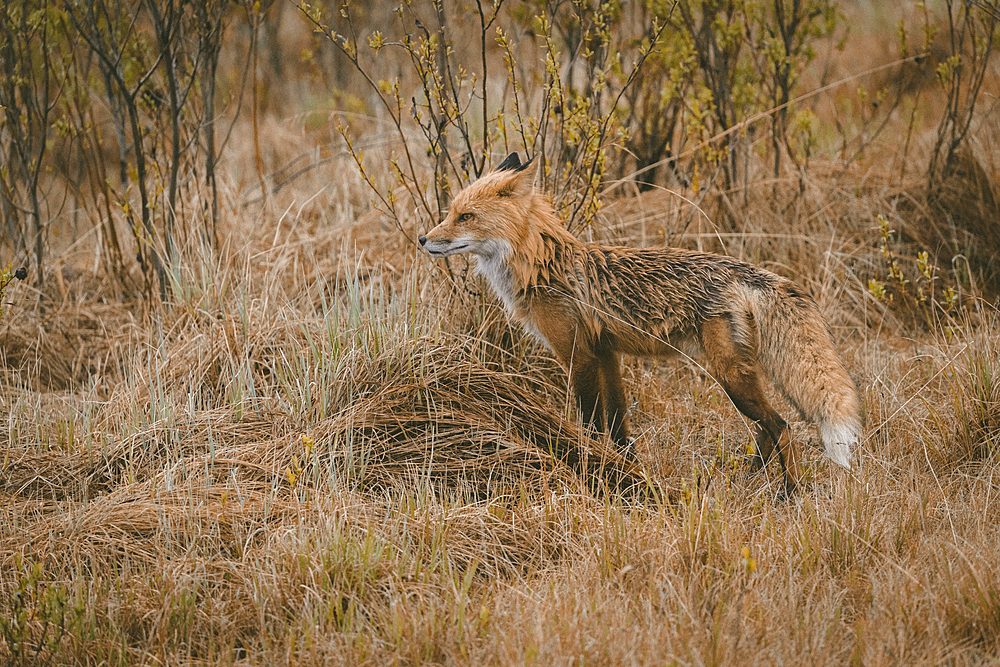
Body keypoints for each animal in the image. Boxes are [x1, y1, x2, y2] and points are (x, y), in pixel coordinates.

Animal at [418, 153, 864, 496]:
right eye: (450, 213)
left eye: (465, 216)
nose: (423, 239)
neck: (542, 267)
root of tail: (748, 271)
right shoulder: (606, 353)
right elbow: (618, 427)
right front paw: (626, 472)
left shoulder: (578, 355)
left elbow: (591, 424)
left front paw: (595, 468)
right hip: (737, 377)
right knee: (767, 431)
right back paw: (743, 480)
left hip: (730, 377)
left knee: (781, 427)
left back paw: (788, 493)